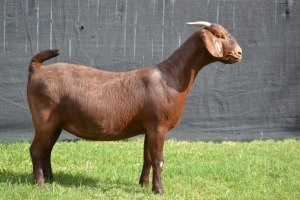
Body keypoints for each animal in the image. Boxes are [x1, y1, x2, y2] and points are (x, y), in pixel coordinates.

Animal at [25, 21, 241, 194]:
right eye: (221, 36)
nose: (239, 53)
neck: (170, 77)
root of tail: (37, 69)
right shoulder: (159, 126)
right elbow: (158, 160)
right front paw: (158, 190)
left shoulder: (149, 127)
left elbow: (147, 157)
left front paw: (143, 185)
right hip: (44, 120)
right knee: (36, 150)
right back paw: (41, 184)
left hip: (56, 124)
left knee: (46, 150)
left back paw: (50, 178)